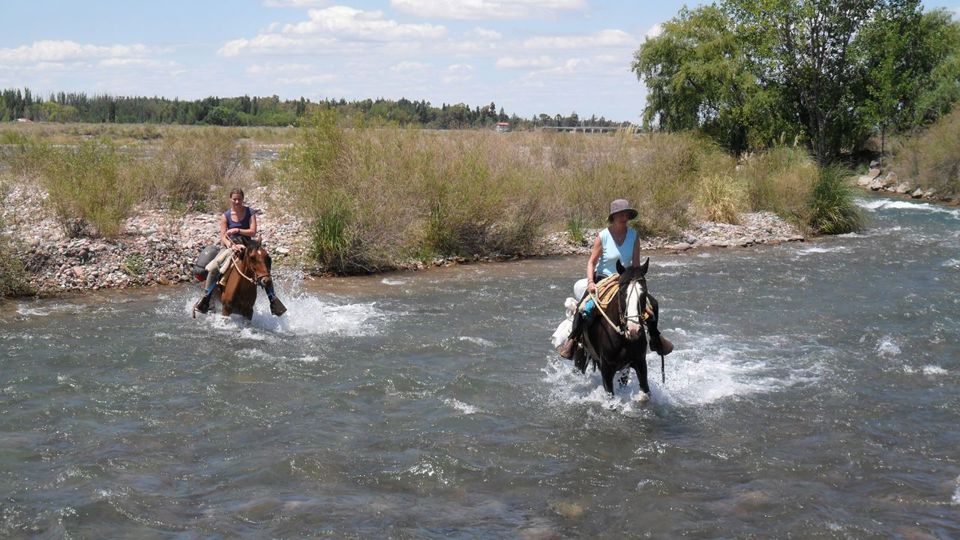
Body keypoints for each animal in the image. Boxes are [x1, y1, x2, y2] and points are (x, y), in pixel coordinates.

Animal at [577, 258, 656, 399]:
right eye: (621, 292)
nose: (633, 330)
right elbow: (610, 396)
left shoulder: (640, 362)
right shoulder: (606, 368)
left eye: (644, 293)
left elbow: (644, 393)